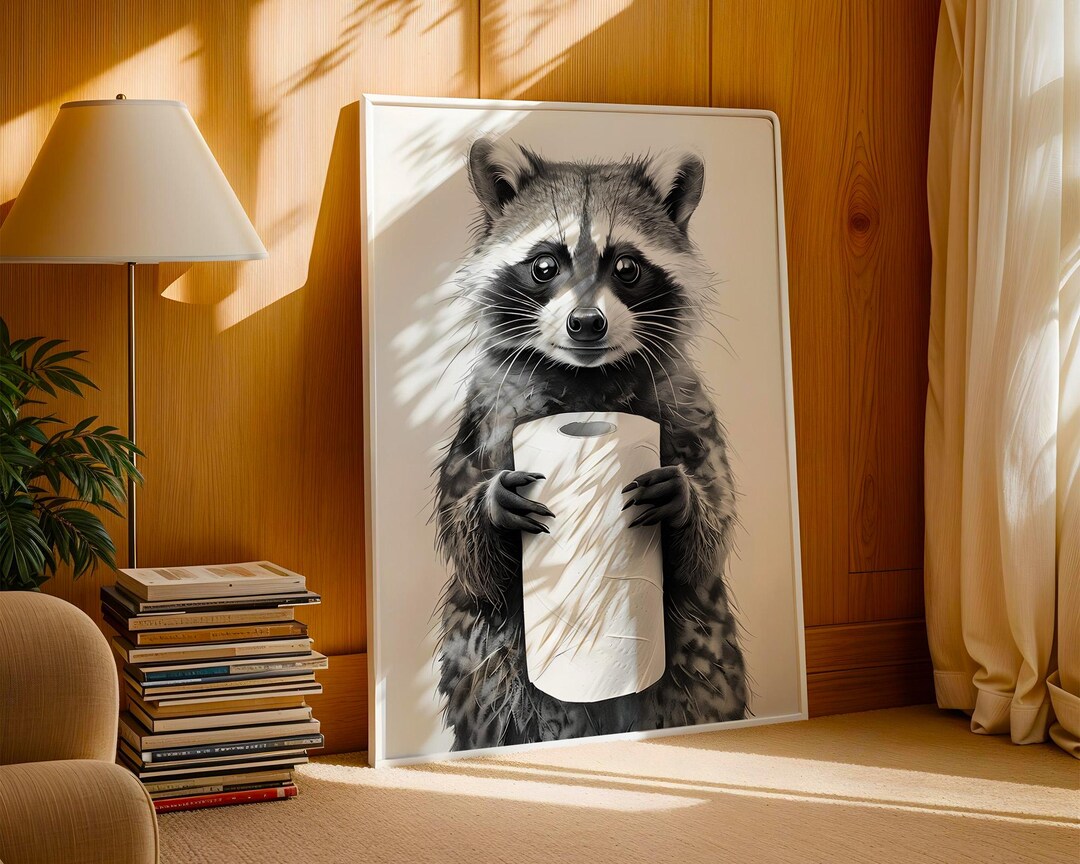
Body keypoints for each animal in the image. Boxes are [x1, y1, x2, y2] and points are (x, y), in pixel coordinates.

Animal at [434, 137, 747, 751]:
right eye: (544, 265)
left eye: (626, 266)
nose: (586, 323)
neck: (586, 378)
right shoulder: (487, 412)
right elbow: (467, 550)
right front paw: (491, 505)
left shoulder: (687, 405)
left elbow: (709, 540)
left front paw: (684, 502)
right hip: (497, 677)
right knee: (501, 681)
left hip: (699, 663)